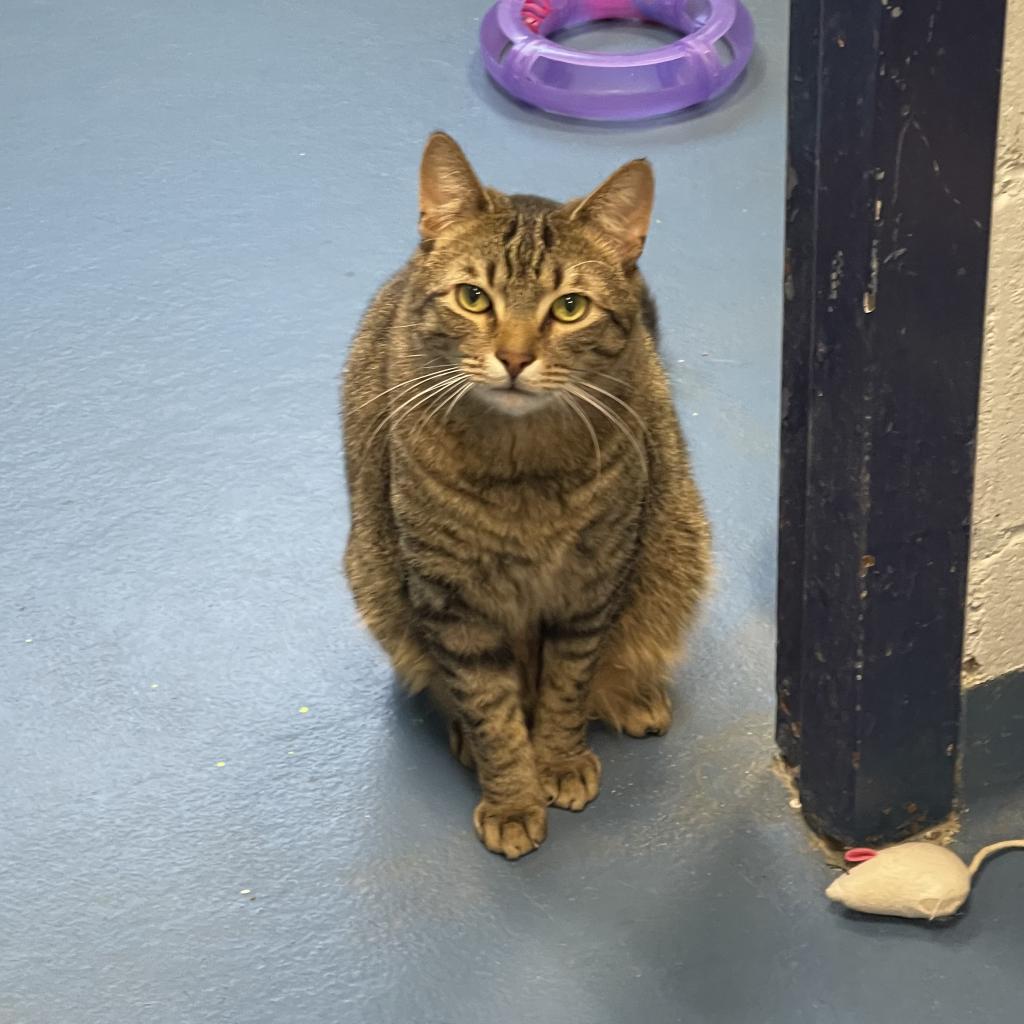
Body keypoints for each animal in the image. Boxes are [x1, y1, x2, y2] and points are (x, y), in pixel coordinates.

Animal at [339, 132, 708, 860]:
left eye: (569, 308)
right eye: (474, 298)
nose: (513, 358)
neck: (521, 474)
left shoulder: (590, 587)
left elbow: (569, 686)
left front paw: (558, 760)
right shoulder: (452, 604)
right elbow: (490, 708)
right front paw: (512, 794)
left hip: (676, 547)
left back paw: (631, 698)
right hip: (375, 578)